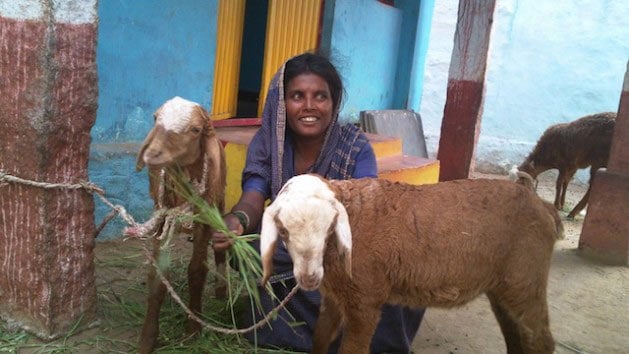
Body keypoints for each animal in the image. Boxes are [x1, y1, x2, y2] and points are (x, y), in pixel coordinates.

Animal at [134, 97, 227, 354]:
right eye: (156, 118)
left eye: (195, 130)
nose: (152, 154)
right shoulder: (163, 218)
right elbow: (158, 277)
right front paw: (147, 339)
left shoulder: (205, 219)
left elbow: (197, 271)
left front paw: (193, 329)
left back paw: (222, 289)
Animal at [258, 174, 560, 354]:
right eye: (283, 231)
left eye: (330, 227)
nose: (309, 278)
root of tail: (544, 206)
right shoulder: (336, 296)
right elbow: (320, 337)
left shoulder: (365, 300)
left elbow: (352, 349)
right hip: (504, 286)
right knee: (516, 334)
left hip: (526, 278)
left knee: (541, 339)